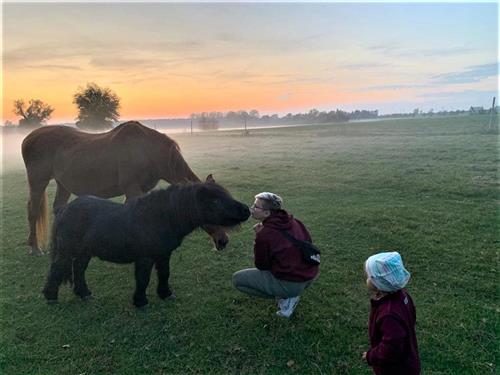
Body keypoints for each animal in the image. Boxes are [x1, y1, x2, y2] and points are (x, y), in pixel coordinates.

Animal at [21, 120, 229, 256]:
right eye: (210, 207)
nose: (223, 241)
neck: (148, 151)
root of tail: (28, 138)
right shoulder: (132, 189)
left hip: (63, 184)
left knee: (58, 208)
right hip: (38, 182)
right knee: (33, 212)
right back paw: (35, 248)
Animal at [43, 180, 250, 308]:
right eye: (215, 201)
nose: (246, 210)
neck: (160, 217)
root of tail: (64, 210)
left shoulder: (163, 255)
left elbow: (164, 274)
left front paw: (166, 294)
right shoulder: (145, 257)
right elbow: (143, 278)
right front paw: (141, 301)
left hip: (84, 252)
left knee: (78, 270)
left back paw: (84, 293)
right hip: (67, 251)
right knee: (57, 269)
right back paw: (51, 297)